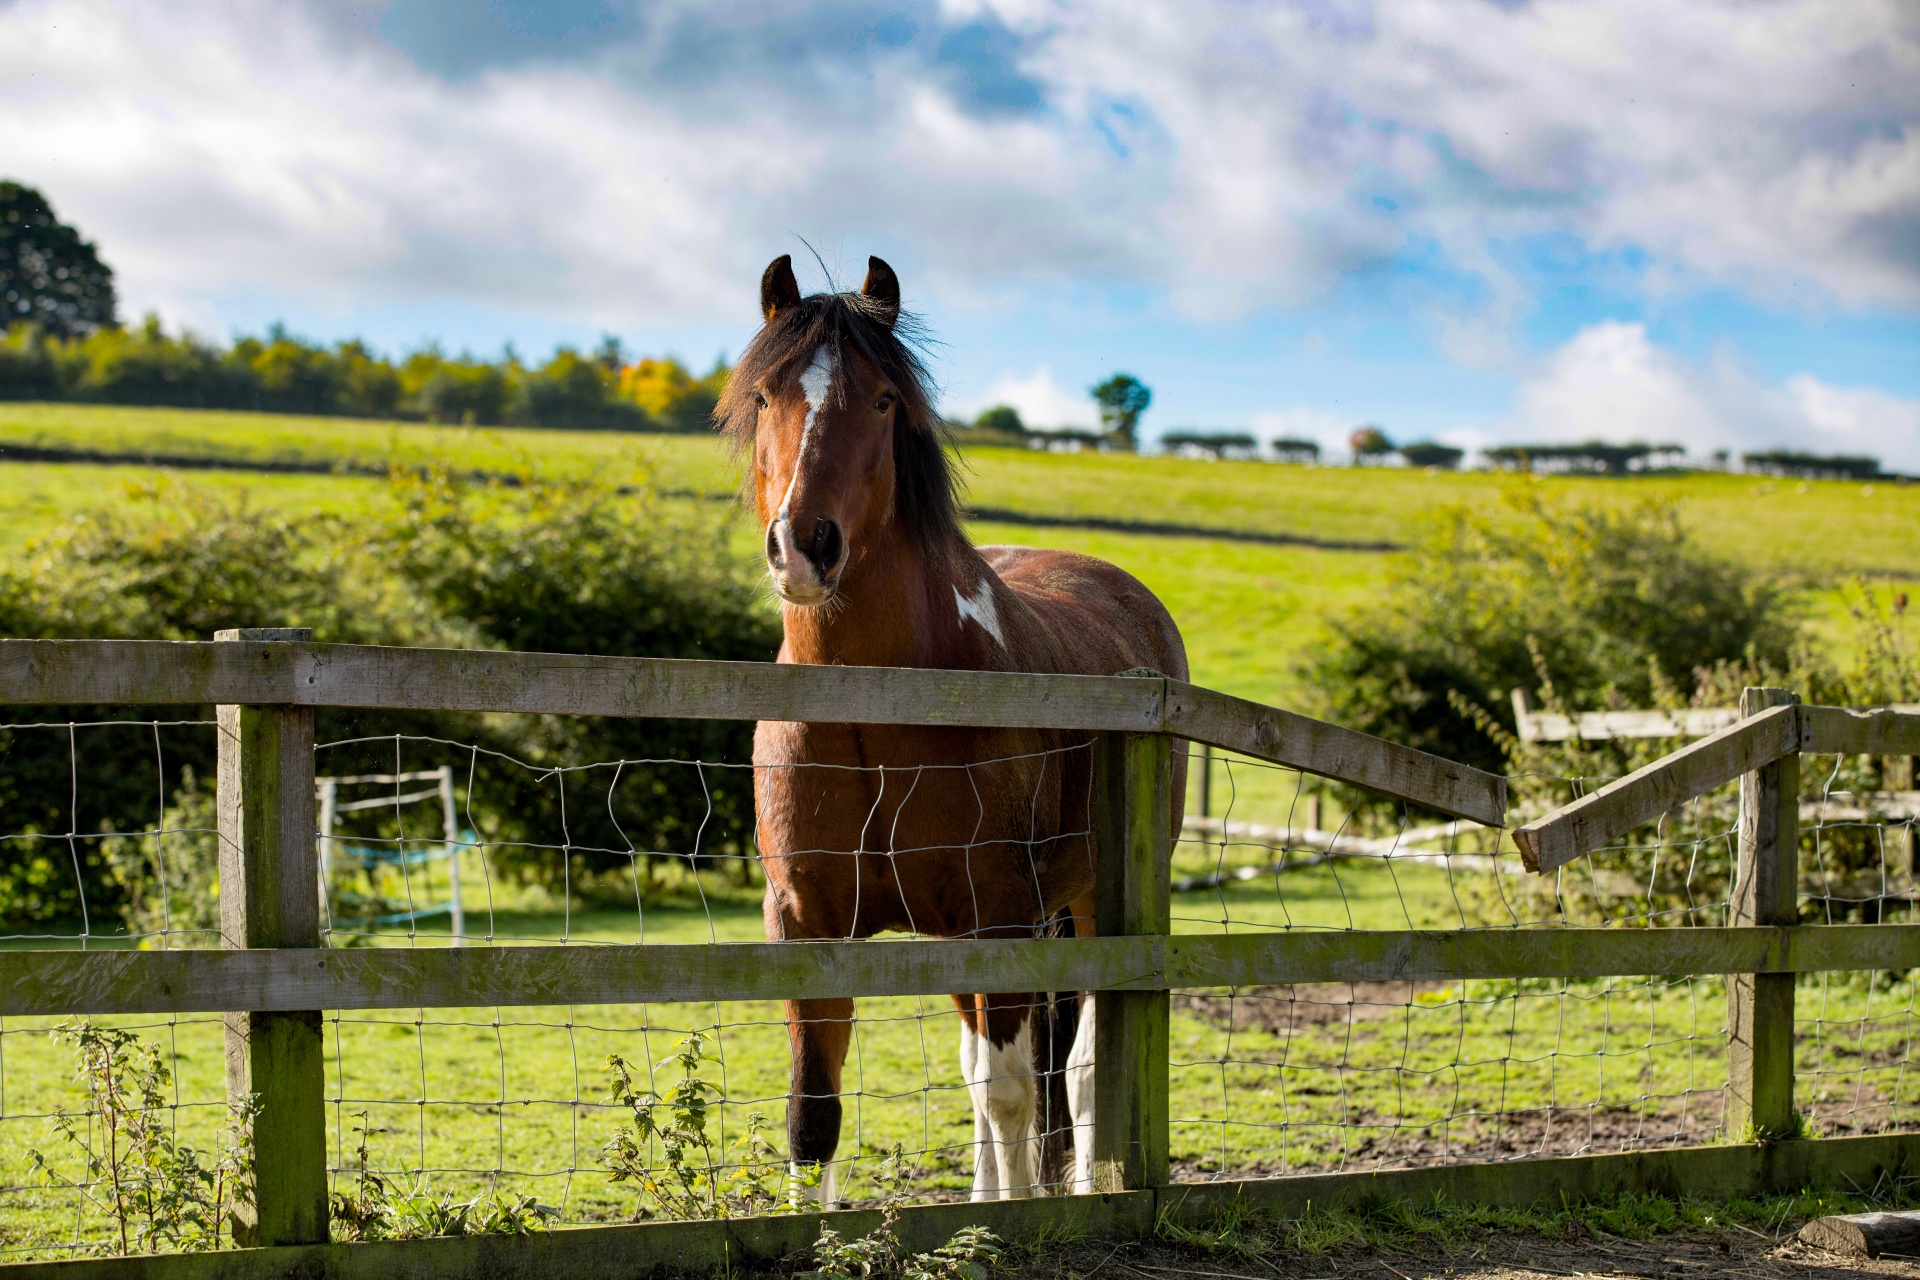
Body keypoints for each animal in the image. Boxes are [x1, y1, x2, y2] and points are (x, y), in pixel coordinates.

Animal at [721, 253, 1182, 1205]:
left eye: (882, 399)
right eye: (766, 395)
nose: (804, 544)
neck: (876, 712)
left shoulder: (999, 918)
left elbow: (1014, 1095)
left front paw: (1014, 1218)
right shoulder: (805, 925)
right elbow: (813, 1114)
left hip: (1091, 905)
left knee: (1079, 1072)